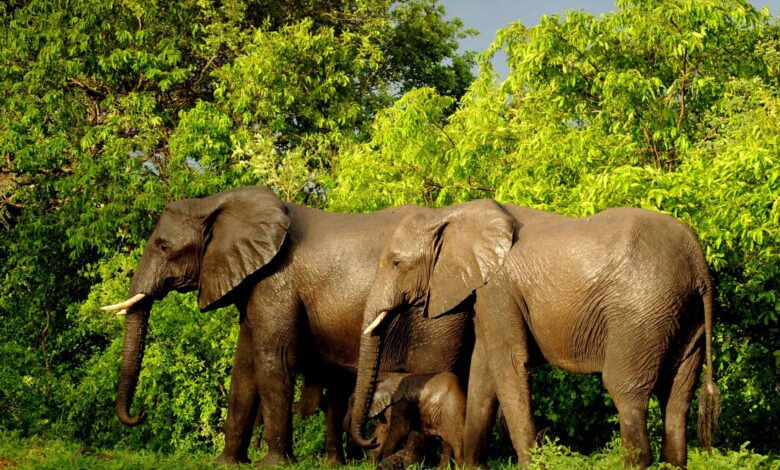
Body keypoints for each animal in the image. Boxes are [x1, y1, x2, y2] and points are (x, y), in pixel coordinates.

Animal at [100, 186, 482, 466]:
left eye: (164, 247)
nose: (140, 414)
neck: (217, 203)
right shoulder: (255, 285)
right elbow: (244, 367)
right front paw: (228, 464)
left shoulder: (276, 284)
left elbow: (272, 358)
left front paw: (274, 464)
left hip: (438, 315)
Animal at [358, 204, 721, 469]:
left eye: (396, 262)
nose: (371, 442)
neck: (452, 214)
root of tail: (698, 261)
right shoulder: (488, 294)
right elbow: (484, 370)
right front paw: (471, 467)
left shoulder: (499, 289)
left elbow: (508, 365)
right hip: (684, 317)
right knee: (678, 396)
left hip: (641, 313)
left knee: (626, 391)